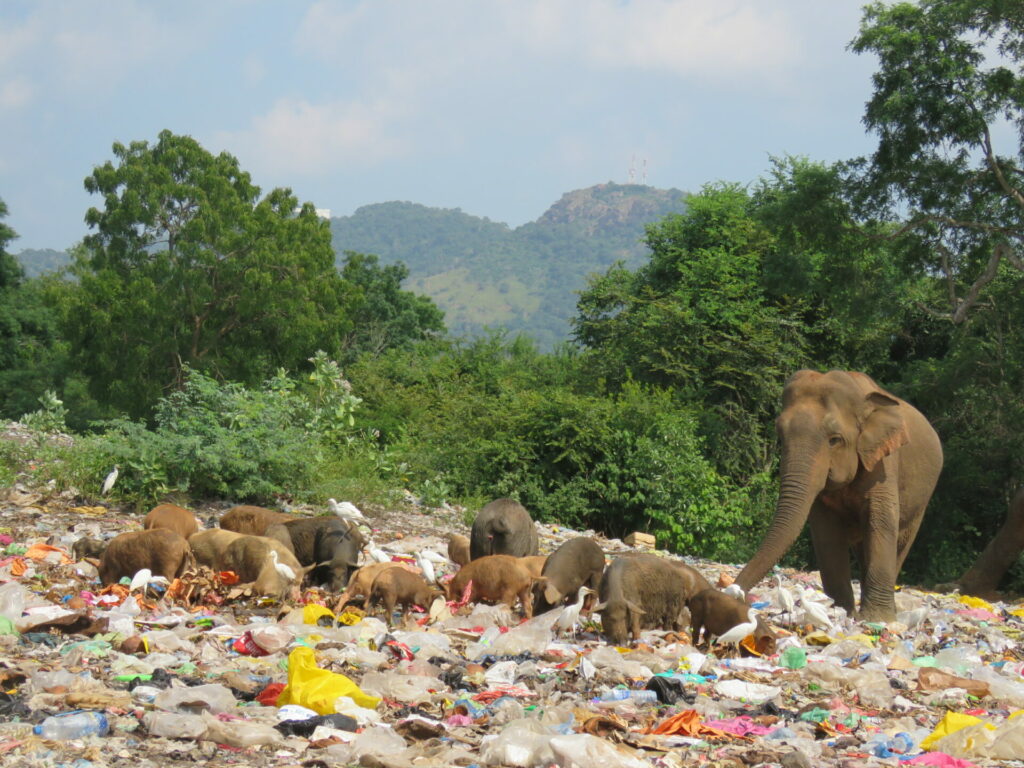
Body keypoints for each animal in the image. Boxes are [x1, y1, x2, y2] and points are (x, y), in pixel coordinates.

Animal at [737, 370, 942, 622]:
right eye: (780, 435)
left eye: (835, 439)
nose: (736, 593)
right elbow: (826, 532)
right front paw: (841, 611)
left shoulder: (883, 463)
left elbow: (880, 521)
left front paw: (876, 619)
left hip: (922, 500)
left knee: (900, 542)